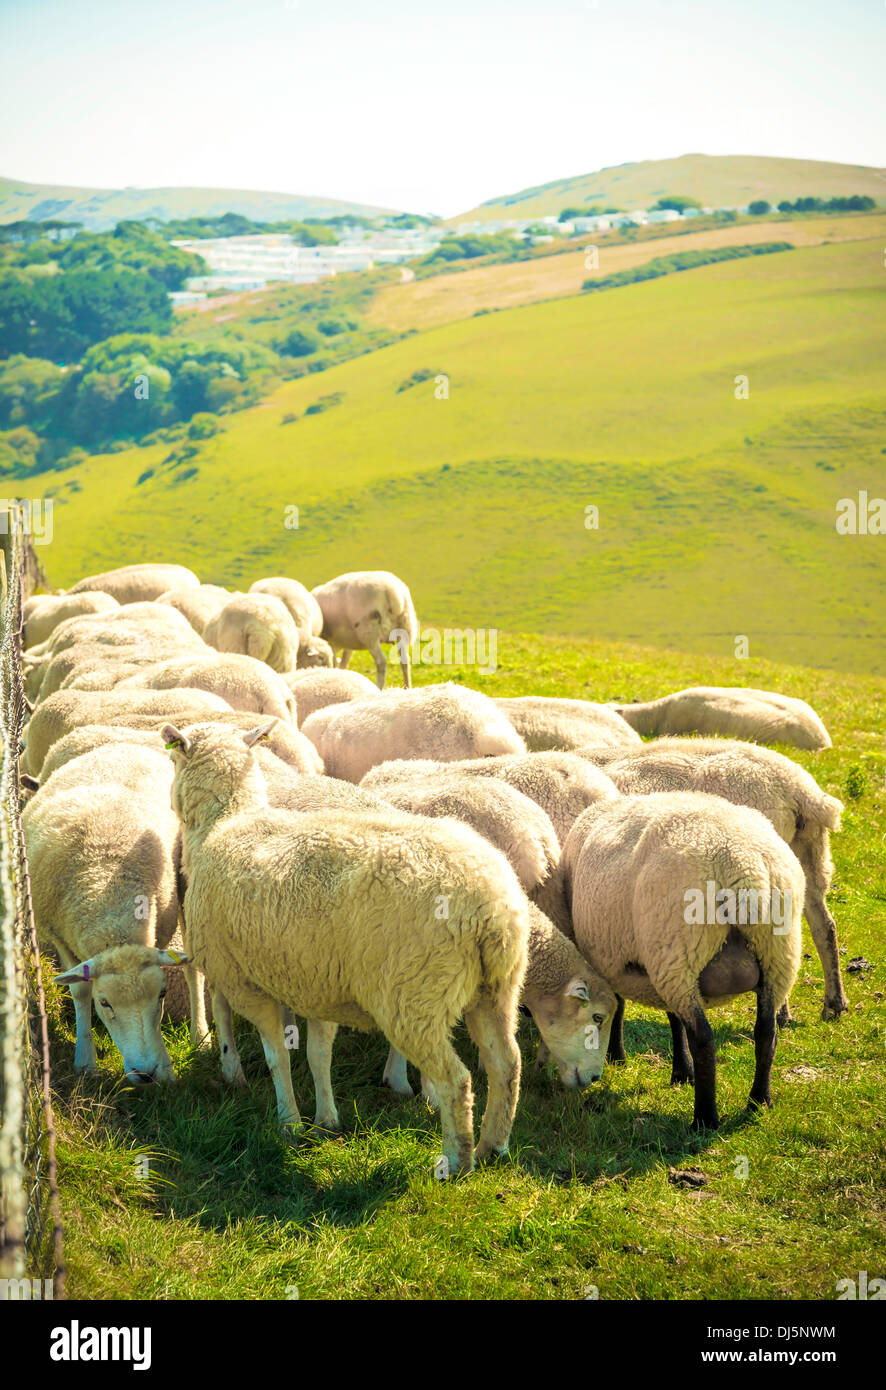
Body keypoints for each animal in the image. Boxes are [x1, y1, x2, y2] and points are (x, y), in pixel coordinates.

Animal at [23, 747, 197, 1081]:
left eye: (162, 995)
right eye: (104, 1003)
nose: (146, 1073)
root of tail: (123, 744)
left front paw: (167, 1067)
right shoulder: (59, 935)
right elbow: (79, 990)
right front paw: (85, 1060)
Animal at [163, 719, 529, 1173]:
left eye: (172, 758)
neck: (227, 822)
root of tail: (488, 907)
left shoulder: (242, 980)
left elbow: (277, 1056)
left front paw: (289, 1123)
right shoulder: (316, 982)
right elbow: (318, 1055)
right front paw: (325, 1121)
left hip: (416, 998)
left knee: (455, 1080)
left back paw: (455, 1163)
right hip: (498, 989)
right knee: (506, 1065)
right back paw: (492, 1146)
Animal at [562, 792, 805, 1129]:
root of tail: (744, 866)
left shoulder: (616, 959)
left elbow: (618, 1006)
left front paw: (617, 1055)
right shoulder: (648, 962)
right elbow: (668, 1017)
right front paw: (680, 1071)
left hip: (681, 951)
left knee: (704, 1039)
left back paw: (705, 1118)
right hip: (777, 956)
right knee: (766, 1034)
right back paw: (759, 1101)